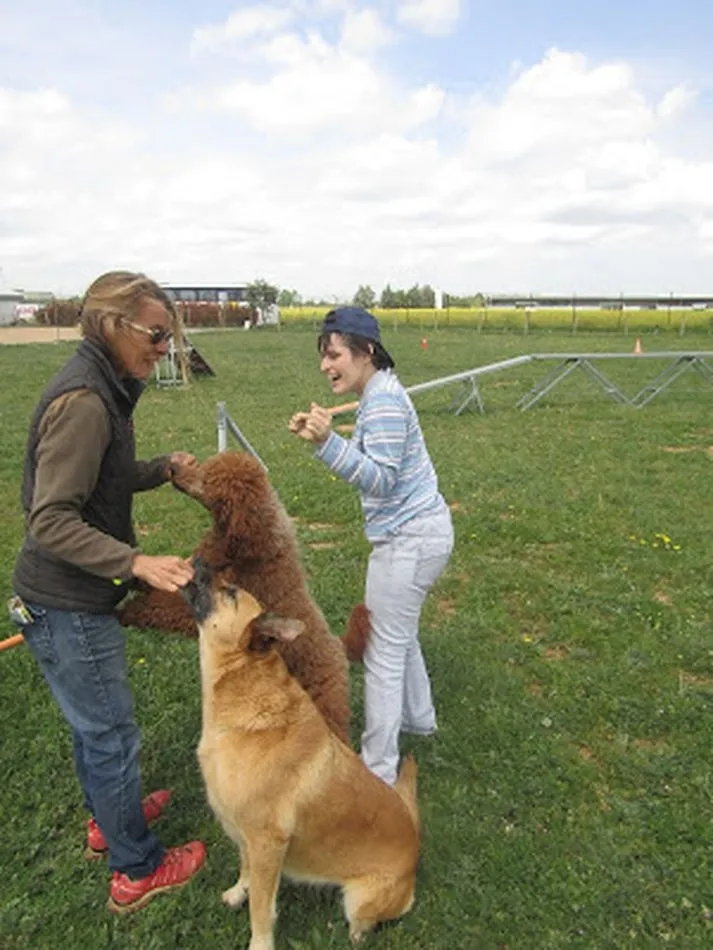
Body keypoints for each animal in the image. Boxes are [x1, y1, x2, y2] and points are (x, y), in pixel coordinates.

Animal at [119, 452, 369, 744]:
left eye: (210, 478)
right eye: (205, 465)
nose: (173, 468)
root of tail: (339, 647)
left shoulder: (215, 608)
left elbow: (164, 607)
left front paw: (127, 611)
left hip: (324, 699)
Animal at [183, 559, 420, 950]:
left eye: (230, 591)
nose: (197, 562)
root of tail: (416, 843)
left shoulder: (267, 843)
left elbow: (261, 909)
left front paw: (259, 942)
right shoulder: (246, 836)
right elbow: (245, 871)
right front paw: (238, 892)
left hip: (359, 901)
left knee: (364, 925)